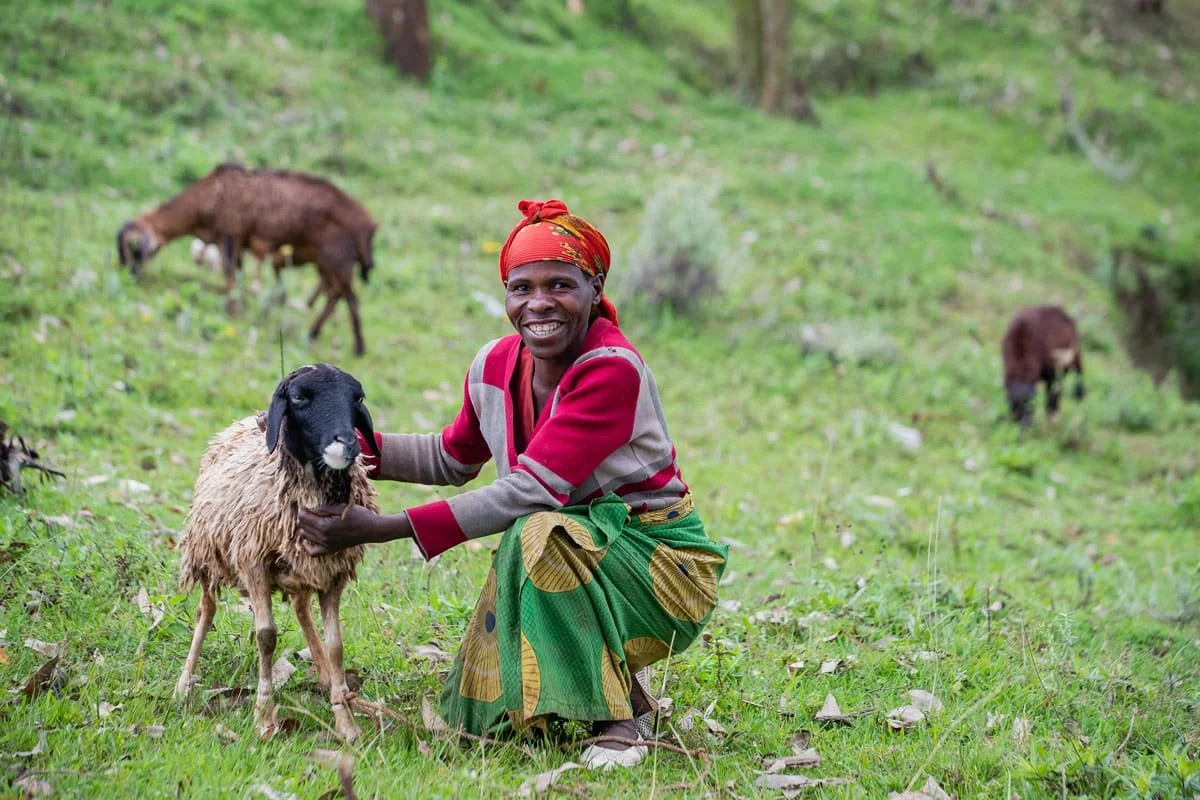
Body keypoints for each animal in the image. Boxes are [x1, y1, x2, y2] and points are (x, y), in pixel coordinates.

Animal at [117, 163, 377, 355]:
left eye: (134, 248)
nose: (131, 276)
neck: (210, 195)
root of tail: (368, 224)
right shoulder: (238, 244)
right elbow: (237, 277)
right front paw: (238, 305)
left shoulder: (231, 235)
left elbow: (229, 276)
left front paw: (229, 306)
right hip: (326, 262)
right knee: (335, 295)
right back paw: (314, 332)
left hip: (337, 260)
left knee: (349, 298)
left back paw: (358, 347)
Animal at [173, 363, 381, 742]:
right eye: (299, 398)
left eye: (357, 398)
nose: (348, 444)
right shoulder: (253, 562)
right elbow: (266, 637)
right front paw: (264, 716)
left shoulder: (333, 572)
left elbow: (335, 645)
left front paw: (346, 722)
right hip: (207, 551)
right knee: (205, 610)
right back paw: (182, 685)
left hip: (299, 568)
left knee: (300, 607)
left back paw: (324, 674)